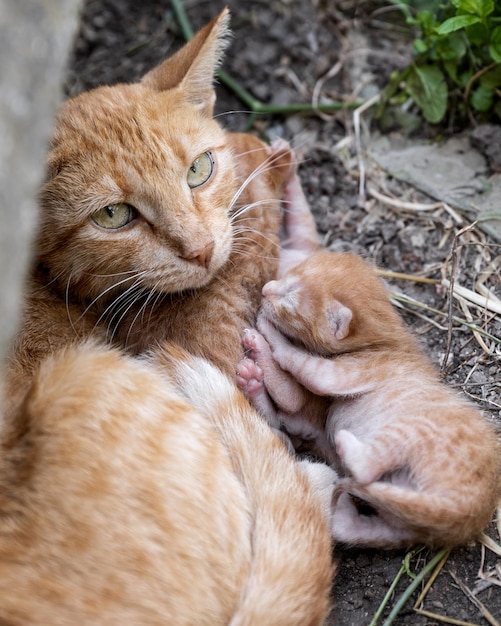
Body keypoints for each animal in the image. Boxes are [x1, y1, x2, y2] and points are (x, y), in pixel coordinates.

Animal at [237, 246, 496, 544]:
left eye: (290, 300)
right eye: (288, 275)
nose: (266, 289)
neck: (384, 340)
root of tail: (467, 513)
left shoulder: (346, 372)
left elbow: (301, 364)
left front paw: (266, 330)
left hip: (411, 430)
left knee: (361, 465)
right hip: (401, 528)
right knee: (350, 528)